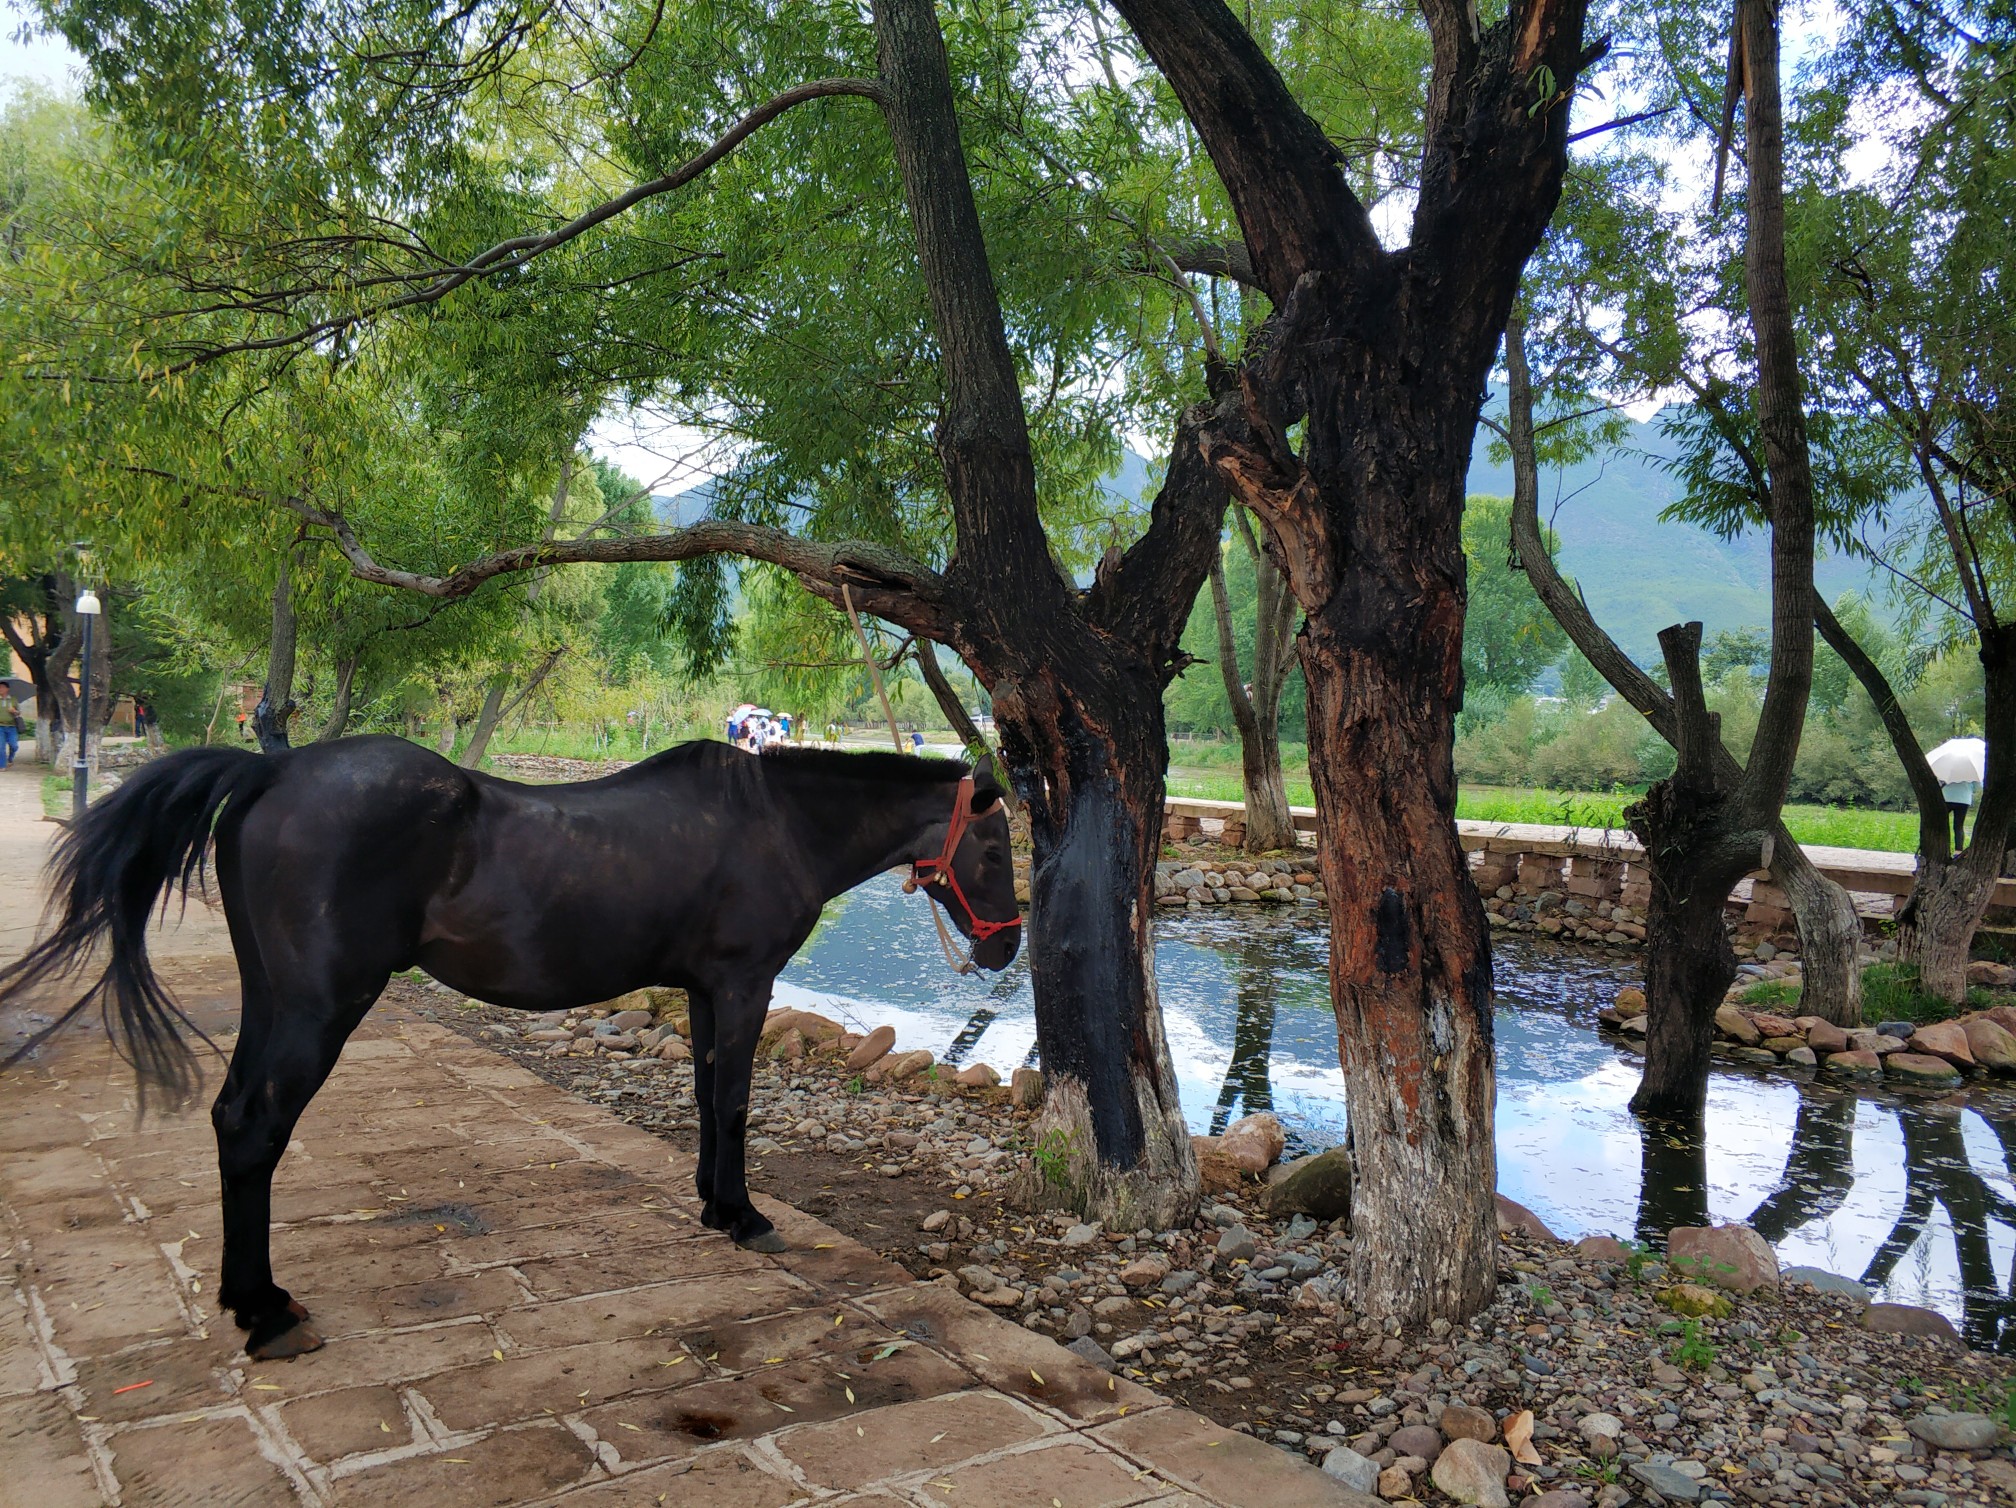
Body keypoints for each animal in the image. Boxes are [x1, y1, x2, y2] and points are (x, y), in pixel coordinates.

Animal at [0, 737, 1008, 1362]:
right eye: (999, 847)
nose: (1003, 952)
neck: (773, 822)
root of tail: (269, 773)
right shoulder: (743, 984)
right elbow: (732, 1100)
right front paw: (745, 1214)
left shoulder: (701, 991)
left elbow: (703, 1094)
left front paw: (713, 1205)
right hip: (319, 1008)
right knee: (255, 1129)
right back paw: (266, 1311)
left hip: (274, 1002)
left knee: (230, 1116)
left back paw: (248, 1299)